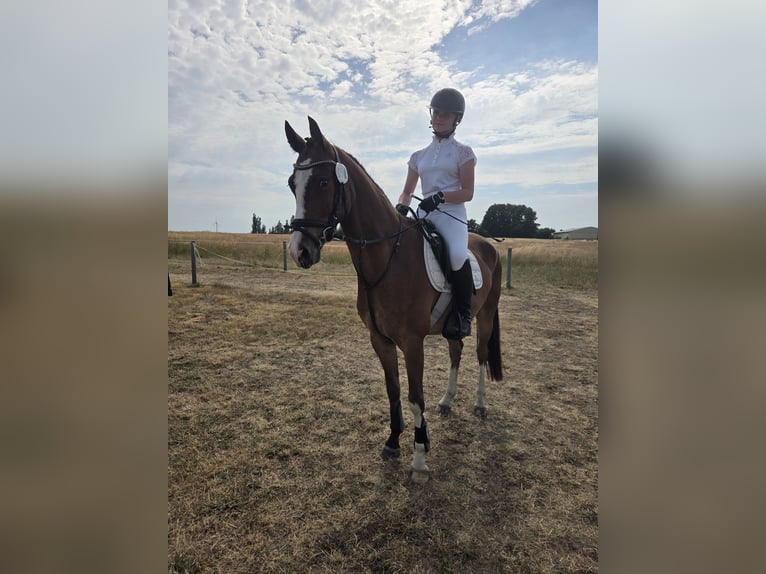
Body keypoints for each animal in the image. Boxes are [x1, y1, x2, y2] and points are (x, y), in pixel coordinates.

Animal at [284, 117, 503, 480]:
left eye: (324, 181)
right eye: (292, 183)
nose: (299, 251)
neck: (387, 257)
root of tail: (488, 244)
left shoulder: (412, 342)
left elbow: (415, 397)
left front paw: (419, 458)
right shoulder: (380, 339)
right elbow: (394, 391)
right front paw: (393, 442)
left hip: (485, 314)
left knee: (481, 355)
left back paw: (481, 405)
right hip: (454, 325)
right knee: (456, 350)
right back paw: (447, 401)